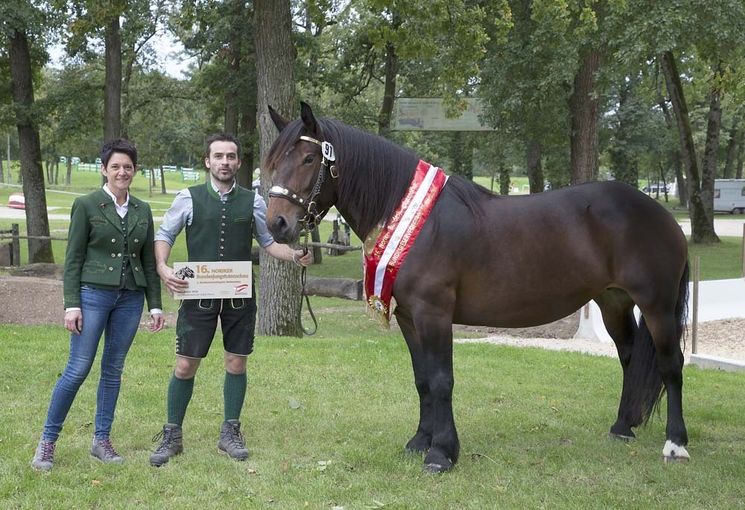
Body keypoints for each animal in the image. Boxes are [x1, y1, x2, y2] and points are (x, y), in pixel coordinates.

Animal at [264, 101, 688, 472]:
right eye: (274, 161)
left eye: (308, 159)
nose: (277, 224)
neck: (417, 223)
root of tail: (661, 213)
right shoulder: (409, 317)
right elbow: (422, 380)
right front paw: (419, 442)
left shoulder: (434, 314)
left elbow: (441, 380)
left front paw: (441, 453)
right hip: (613, 301)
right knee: (629, 356)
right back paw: (622, 427)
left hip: (657, 304)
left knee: (671, 364)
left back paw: (675, 444)